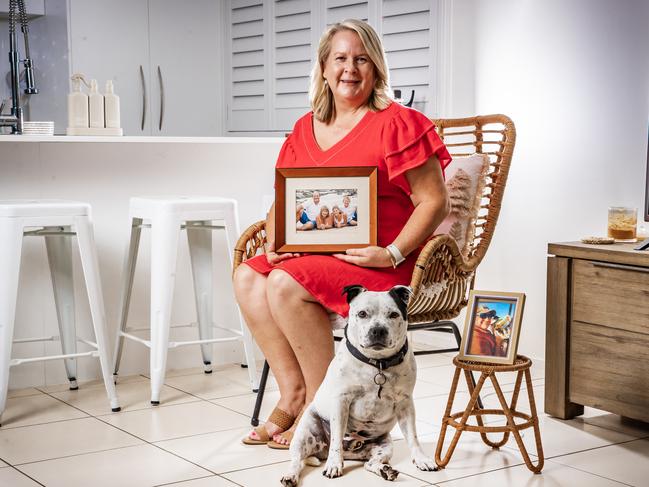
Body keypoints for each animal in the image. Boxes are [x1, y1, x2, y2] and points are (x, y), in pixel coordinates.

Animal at [280, 284, 436, 486]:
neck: (378, 364)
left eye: (393, 314)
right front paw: (334, 465)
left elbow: (413, 436)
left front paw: (422, 459)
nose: (378, 330)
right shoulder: (341, 402)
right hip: (304, 435)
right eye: (362, 314)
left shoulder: (405, 403)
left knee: (370, 464)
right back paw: (291, 475)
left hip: (384, 445)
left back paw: (385, 470)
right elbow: (337, 439)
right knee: (296, 460)